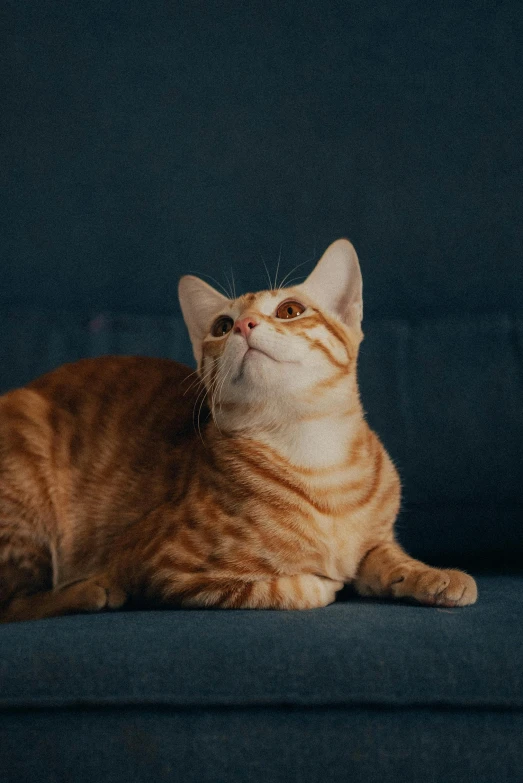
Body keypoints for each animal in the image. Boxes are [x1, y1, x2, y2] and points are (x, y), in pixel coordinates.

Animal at [0, 240, 478, 624]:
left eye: (289, 310)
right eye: (222, 326)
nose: (246, 326)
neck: (316, 456)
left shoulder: (375, 540)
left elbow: (389, 557)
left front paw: (434, 576)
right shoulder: (164, 567)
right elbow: (291, 588)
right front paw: (322, 581)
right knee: (14, 604)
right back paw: (89, 591)